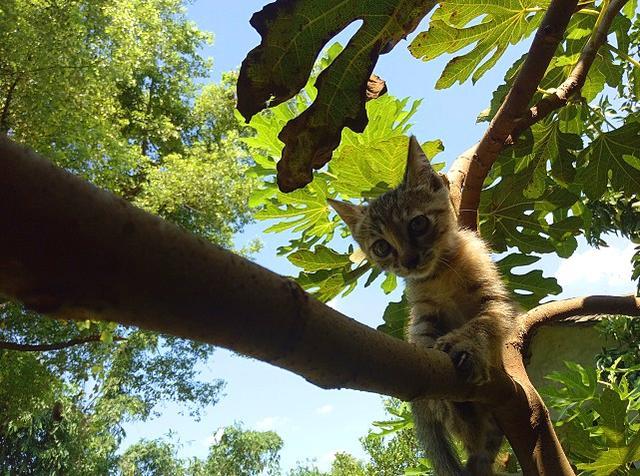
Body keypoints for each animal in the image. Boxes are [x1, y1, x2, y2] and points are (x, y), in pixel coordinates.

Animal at [328, 136, 516, 476]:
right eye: (381, 247)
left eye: (417, 224)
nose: (409, 261)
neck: (441, 273)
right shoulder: (422, 315)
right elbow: (422, 339)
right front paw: (439, 387)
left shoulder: (495, 299)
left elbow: (485, 322)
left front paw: (465, 343)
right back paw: (455, 408)